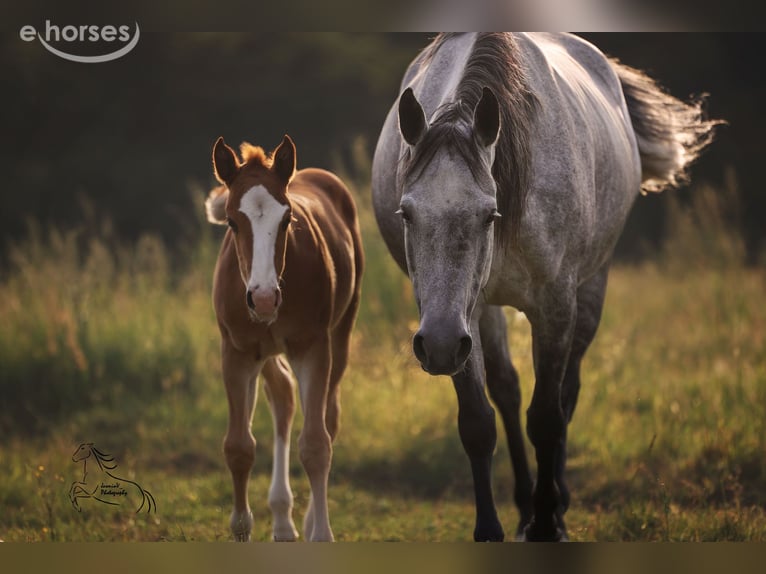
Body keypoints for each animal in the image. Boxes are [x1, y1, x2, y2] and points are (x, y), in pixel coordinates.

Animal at [206, 134, 363, 542]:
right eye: (232, 221)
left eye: (287, 219)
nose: (263, 298)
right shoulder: (237, 352)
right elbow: (238, 446)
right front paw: (242, 527)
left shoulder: (313, 348)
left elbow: (316, 445)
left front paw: (321, 533)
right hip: (266, 352)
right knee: (283, 397)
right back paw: (281, 518)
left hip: (340, 335)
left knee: (326, 417)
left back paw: (303, 521)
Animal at [371, 33, 721, 541]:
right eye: (406, 213)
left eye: (489, 214)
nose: (436, 347)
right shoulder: (460, 316)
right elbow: (478, 421)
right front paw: (491, 528)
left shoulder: (554, 305)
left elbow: (547, 417)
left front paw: (546, 523)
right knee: (508, 390)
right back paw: (523, 506)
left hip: (590, 287)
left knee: (566, 391)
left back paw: (555, 504)